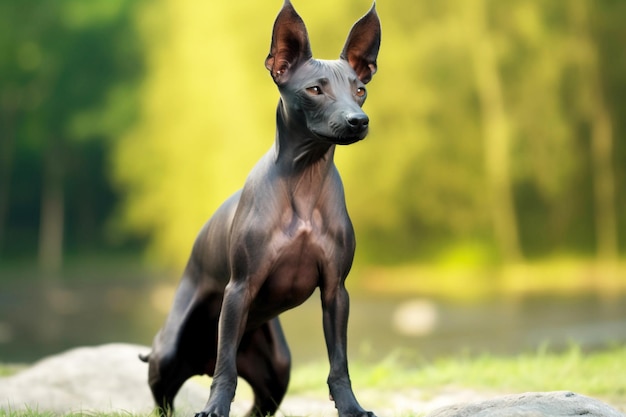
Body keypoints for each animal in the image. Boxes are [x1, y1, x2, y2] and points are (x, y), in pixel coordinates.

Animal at [141, 1, 380, 414]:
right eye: (315, 89)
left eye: (360, 89)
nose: (358, 121)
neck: (304, 180)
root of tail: (199, 362)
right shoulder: (239, 289)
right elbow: (227, 368)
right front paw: (215, 408)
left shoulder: (336, 292)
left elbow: (339, 363)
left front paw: (351, 406)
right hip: (169, 351)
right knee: (172, 393)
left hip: (278, 368)